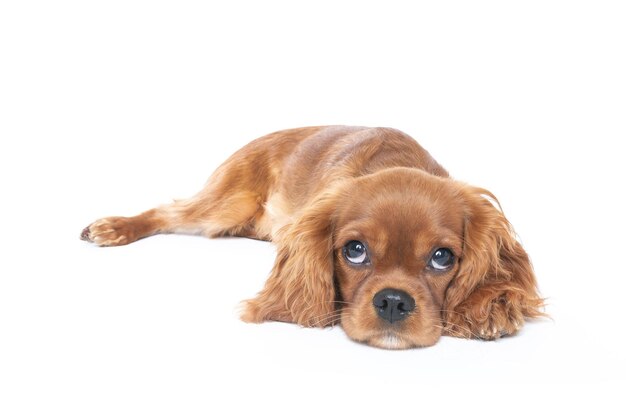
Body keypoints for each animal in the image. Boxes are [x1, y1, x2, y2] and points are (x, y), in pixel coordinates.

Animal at [81, 126, 540, 348]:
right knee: (166, 212)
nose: (393, 302)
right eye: (354, 251)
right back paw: (113, 227)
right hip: (223, 205)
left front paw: (491, 307)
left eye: (442, 257)